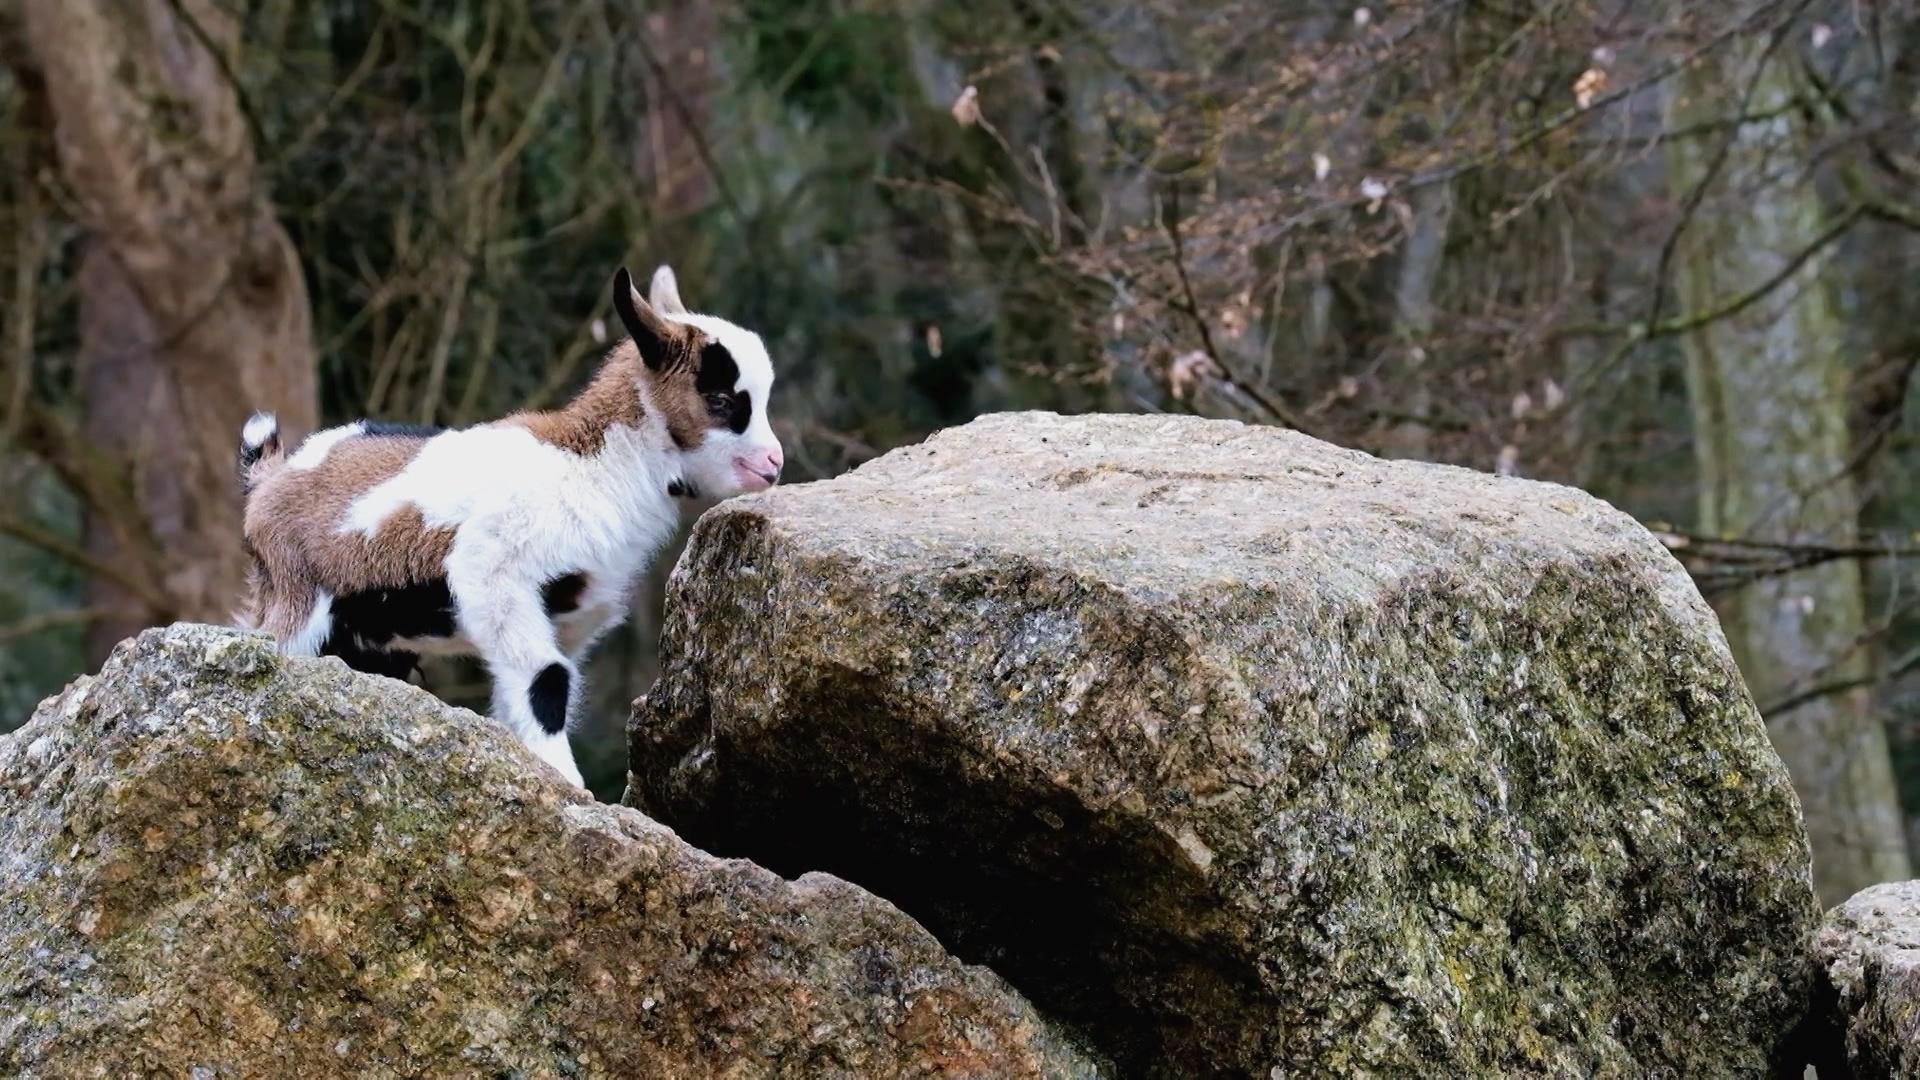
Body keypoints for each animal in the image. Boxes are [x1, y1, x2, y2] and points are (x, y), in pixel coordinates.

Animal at [236, 261, 783, 780]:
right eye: (721, 400)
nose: (773, 463)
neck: (594, 464)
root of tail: (271, 477)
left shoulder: (566, 619)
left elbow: (526, 693)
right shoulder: (494, 577)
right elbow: (547, 681)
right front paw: (569, 782)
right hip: (297, 604)